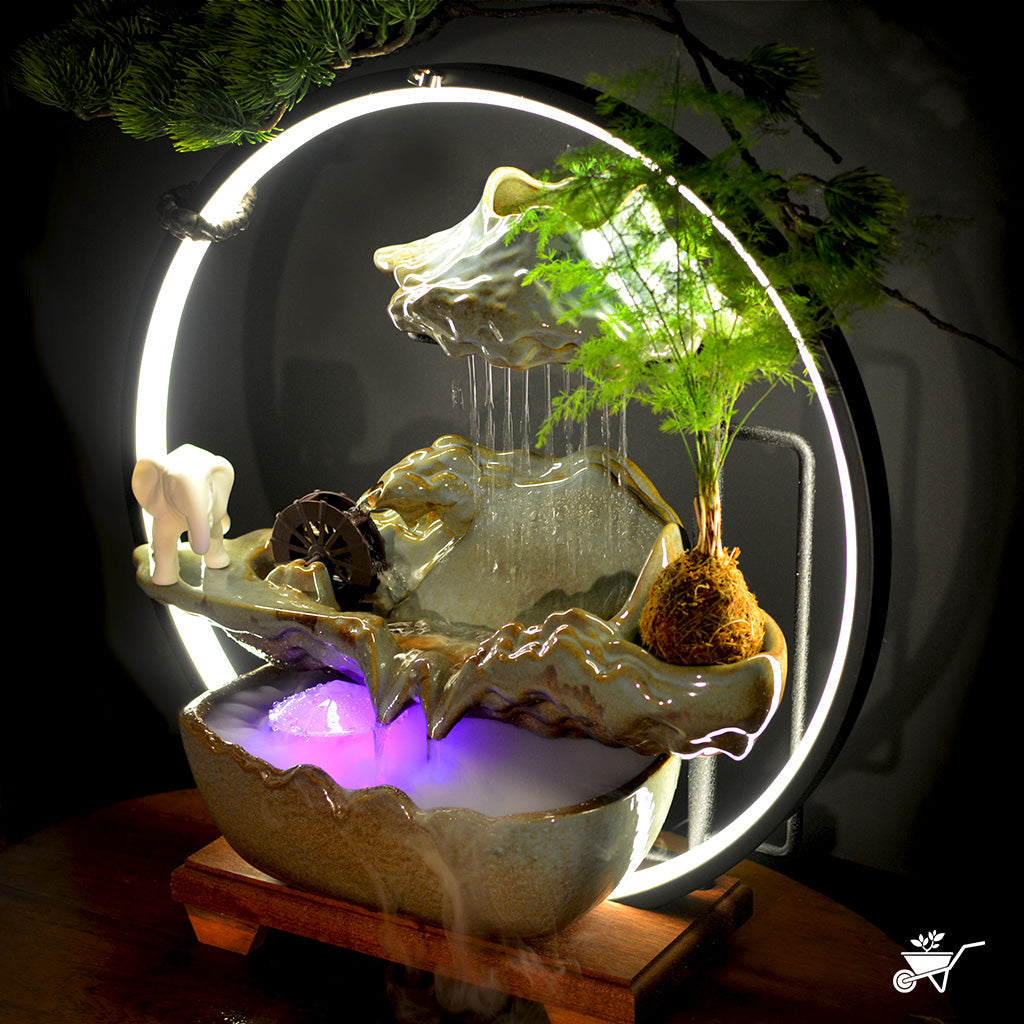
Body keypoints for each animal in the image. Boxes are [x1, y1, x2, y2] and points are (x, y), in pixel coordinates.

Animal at [132, 443, 234, 586]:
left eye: (210, 485)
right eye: (171, 485)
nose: (189, 535)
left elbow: (216, 533)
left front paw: (220, 565)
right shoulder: (164, 513)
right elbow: (164, 543)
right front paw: (164, 583)